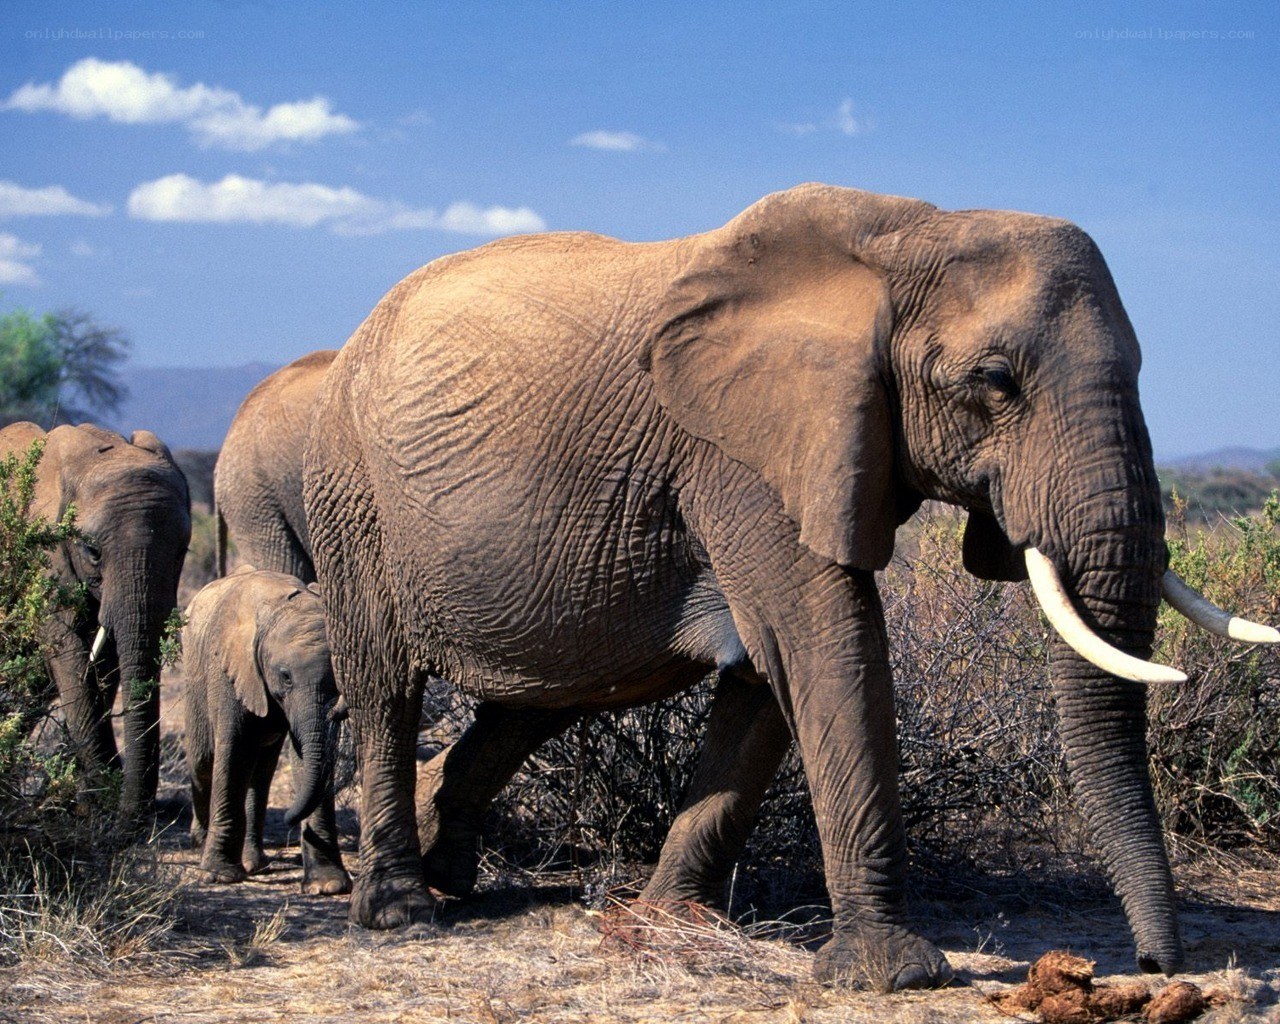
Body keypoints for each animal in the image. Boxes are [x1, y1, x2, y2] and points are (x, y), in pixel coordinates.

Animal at [0, 421, 191, 828]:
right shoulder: (49, 559)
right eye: (92, 552)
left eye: (182, 551)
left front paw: (90, 803)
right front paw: (100, 803)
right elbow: (71, 655)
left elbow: (104, 659)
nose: (133, 817)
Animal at [182, 566, 351, 893]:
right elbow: (233, 753)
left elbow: (307, 759)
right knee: (203, 762)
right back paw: (198, 844)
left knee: (260, 773)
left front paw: (327, 886)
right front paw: (219, 876)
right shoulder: (230, 670)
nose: (287, 818)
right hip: (193, 679)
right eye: (285, 676)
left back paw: (254, 863)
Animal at [301, 184, 1275, 989]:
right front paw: (892, 976)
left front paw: (663, 923)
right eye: (995, 382)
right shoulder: (738, 454)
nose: (1154, 966)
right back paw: (401, 912)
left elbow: (768, 675)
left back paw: (452, 872)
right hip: (352, 498)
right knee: (386, 687)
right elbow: (825, 642)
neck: (906, 230)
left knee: (545, 694)